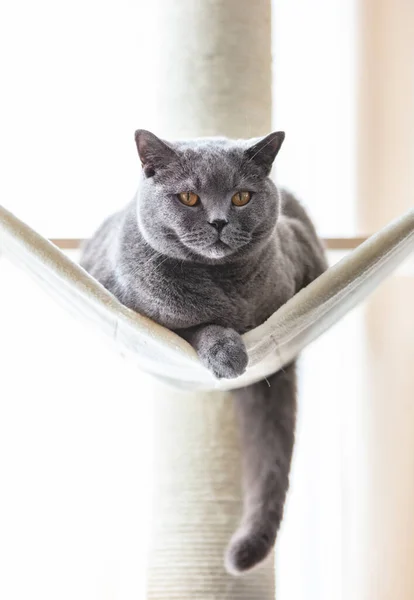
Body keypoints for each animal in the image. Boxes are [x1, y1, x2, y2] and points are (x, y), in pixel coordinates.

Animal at [81, 130, 326, 572]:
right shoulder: (138, 307)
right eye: (189, 198)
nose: (218, 221)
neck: (222, 285)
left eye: (242, 197)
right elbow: (197, 326)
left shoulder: (306, 263)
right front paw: (228, 352)